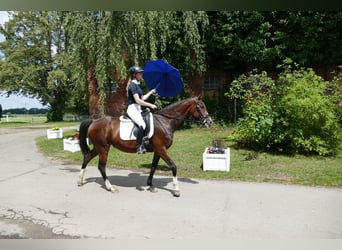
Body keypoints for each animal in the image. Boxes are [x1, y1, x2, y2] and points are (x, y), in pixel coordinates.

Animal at [78, 96, 211, 196]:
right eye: (201, 106)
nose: (209, 122)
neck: (165, 122)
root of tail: (94, 121)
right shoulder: (161, 149)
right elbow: (173, 166)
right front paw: (176, 190)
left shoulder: (158, 151)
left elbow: (153, 167)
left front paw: (151, 186)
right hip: (104, 148)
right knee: (101, 166)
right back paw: (110, 187)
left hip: (98, 147)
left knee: (87, 157)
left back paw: (80, 181)